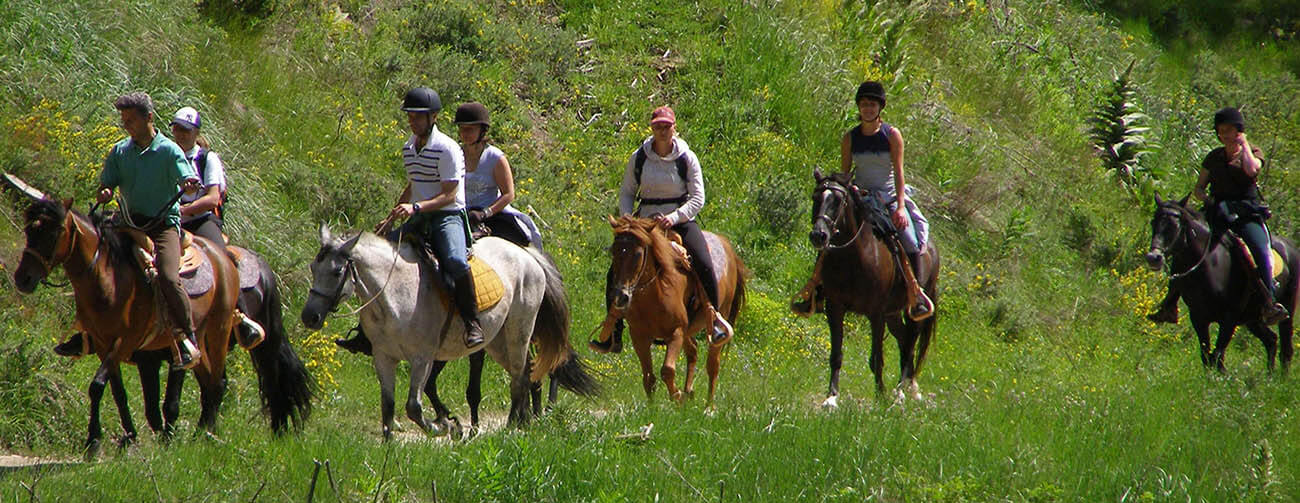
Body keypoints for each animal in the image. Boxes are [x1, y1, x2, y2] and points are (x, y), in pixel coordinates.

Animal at [11, 179, 309, 454]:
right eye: (29, 230)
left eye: (54, 232)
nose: (23, 278)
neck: (110, 279)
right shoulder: (120, 350)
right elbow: (120, 394)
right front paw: (123, 438)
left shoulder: (134, 344)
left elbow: (159, 400)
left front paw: (103, 441)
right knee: (212, 382)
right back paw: (204, 432)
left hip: (227, 335)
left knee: (240, 381)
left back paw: (226, 432)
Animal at [301, 226, 595, 439]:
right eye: (313, 268)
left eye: (337, 271)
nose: (309, 317)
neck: (394, 293)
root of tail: (525, 253)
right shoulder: (383, 357)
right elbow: (388, 406)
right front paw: (389, 446)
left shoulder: (422, 358)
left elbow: (414, 406)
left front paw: (447, 426)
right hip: (496, 341)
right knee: (525, 372)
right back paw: (522, 422)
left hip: (518, 332)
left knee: (520, 377)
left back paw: (512, 426)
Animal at [603, 214, 748, 402]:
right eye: (613, 251)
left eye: (638, 254)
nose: (620, 296)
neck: (655, 294)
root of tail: (726, 244)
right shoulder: (639, 336)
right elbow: (648, 378)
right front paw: (655, 407)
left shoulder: (676, 332)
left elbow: (667, 370)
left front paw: (677, 396)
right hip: (688, 330)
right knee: (693, 350)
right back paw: (689, 392)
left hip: (718, 320)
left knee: (712, 366)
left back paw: (708, 406)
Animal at [806, 171, 941, 408]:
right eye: (815, 197)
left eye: (838, 201)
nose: (819, 235)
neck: (854, 257)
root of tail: (933, 249)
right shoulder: (835, 308)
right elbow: (836, 354)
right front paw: (831, 397)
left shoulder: (876, 313)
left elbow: (877, 358)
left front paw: (880, 396)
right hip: (892, 314)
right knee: (904, 340)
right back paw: (907, 388)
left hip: (912, 311)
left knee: (911, 341)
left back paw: (903, 391)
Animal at [1144, 194, 1294, 371]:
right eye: (1153, 222)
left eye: (1174, 225)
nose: (1153, 257)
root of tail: (1290, 246)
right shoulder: (1198, 317)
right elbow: (1207, 357)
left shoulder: (1229, 319)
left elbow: (1217, 357)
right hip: (1253, 319)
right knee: (1271, 340)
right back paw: (1269, 375)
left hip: (1286, 310)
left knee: (1286, 351)